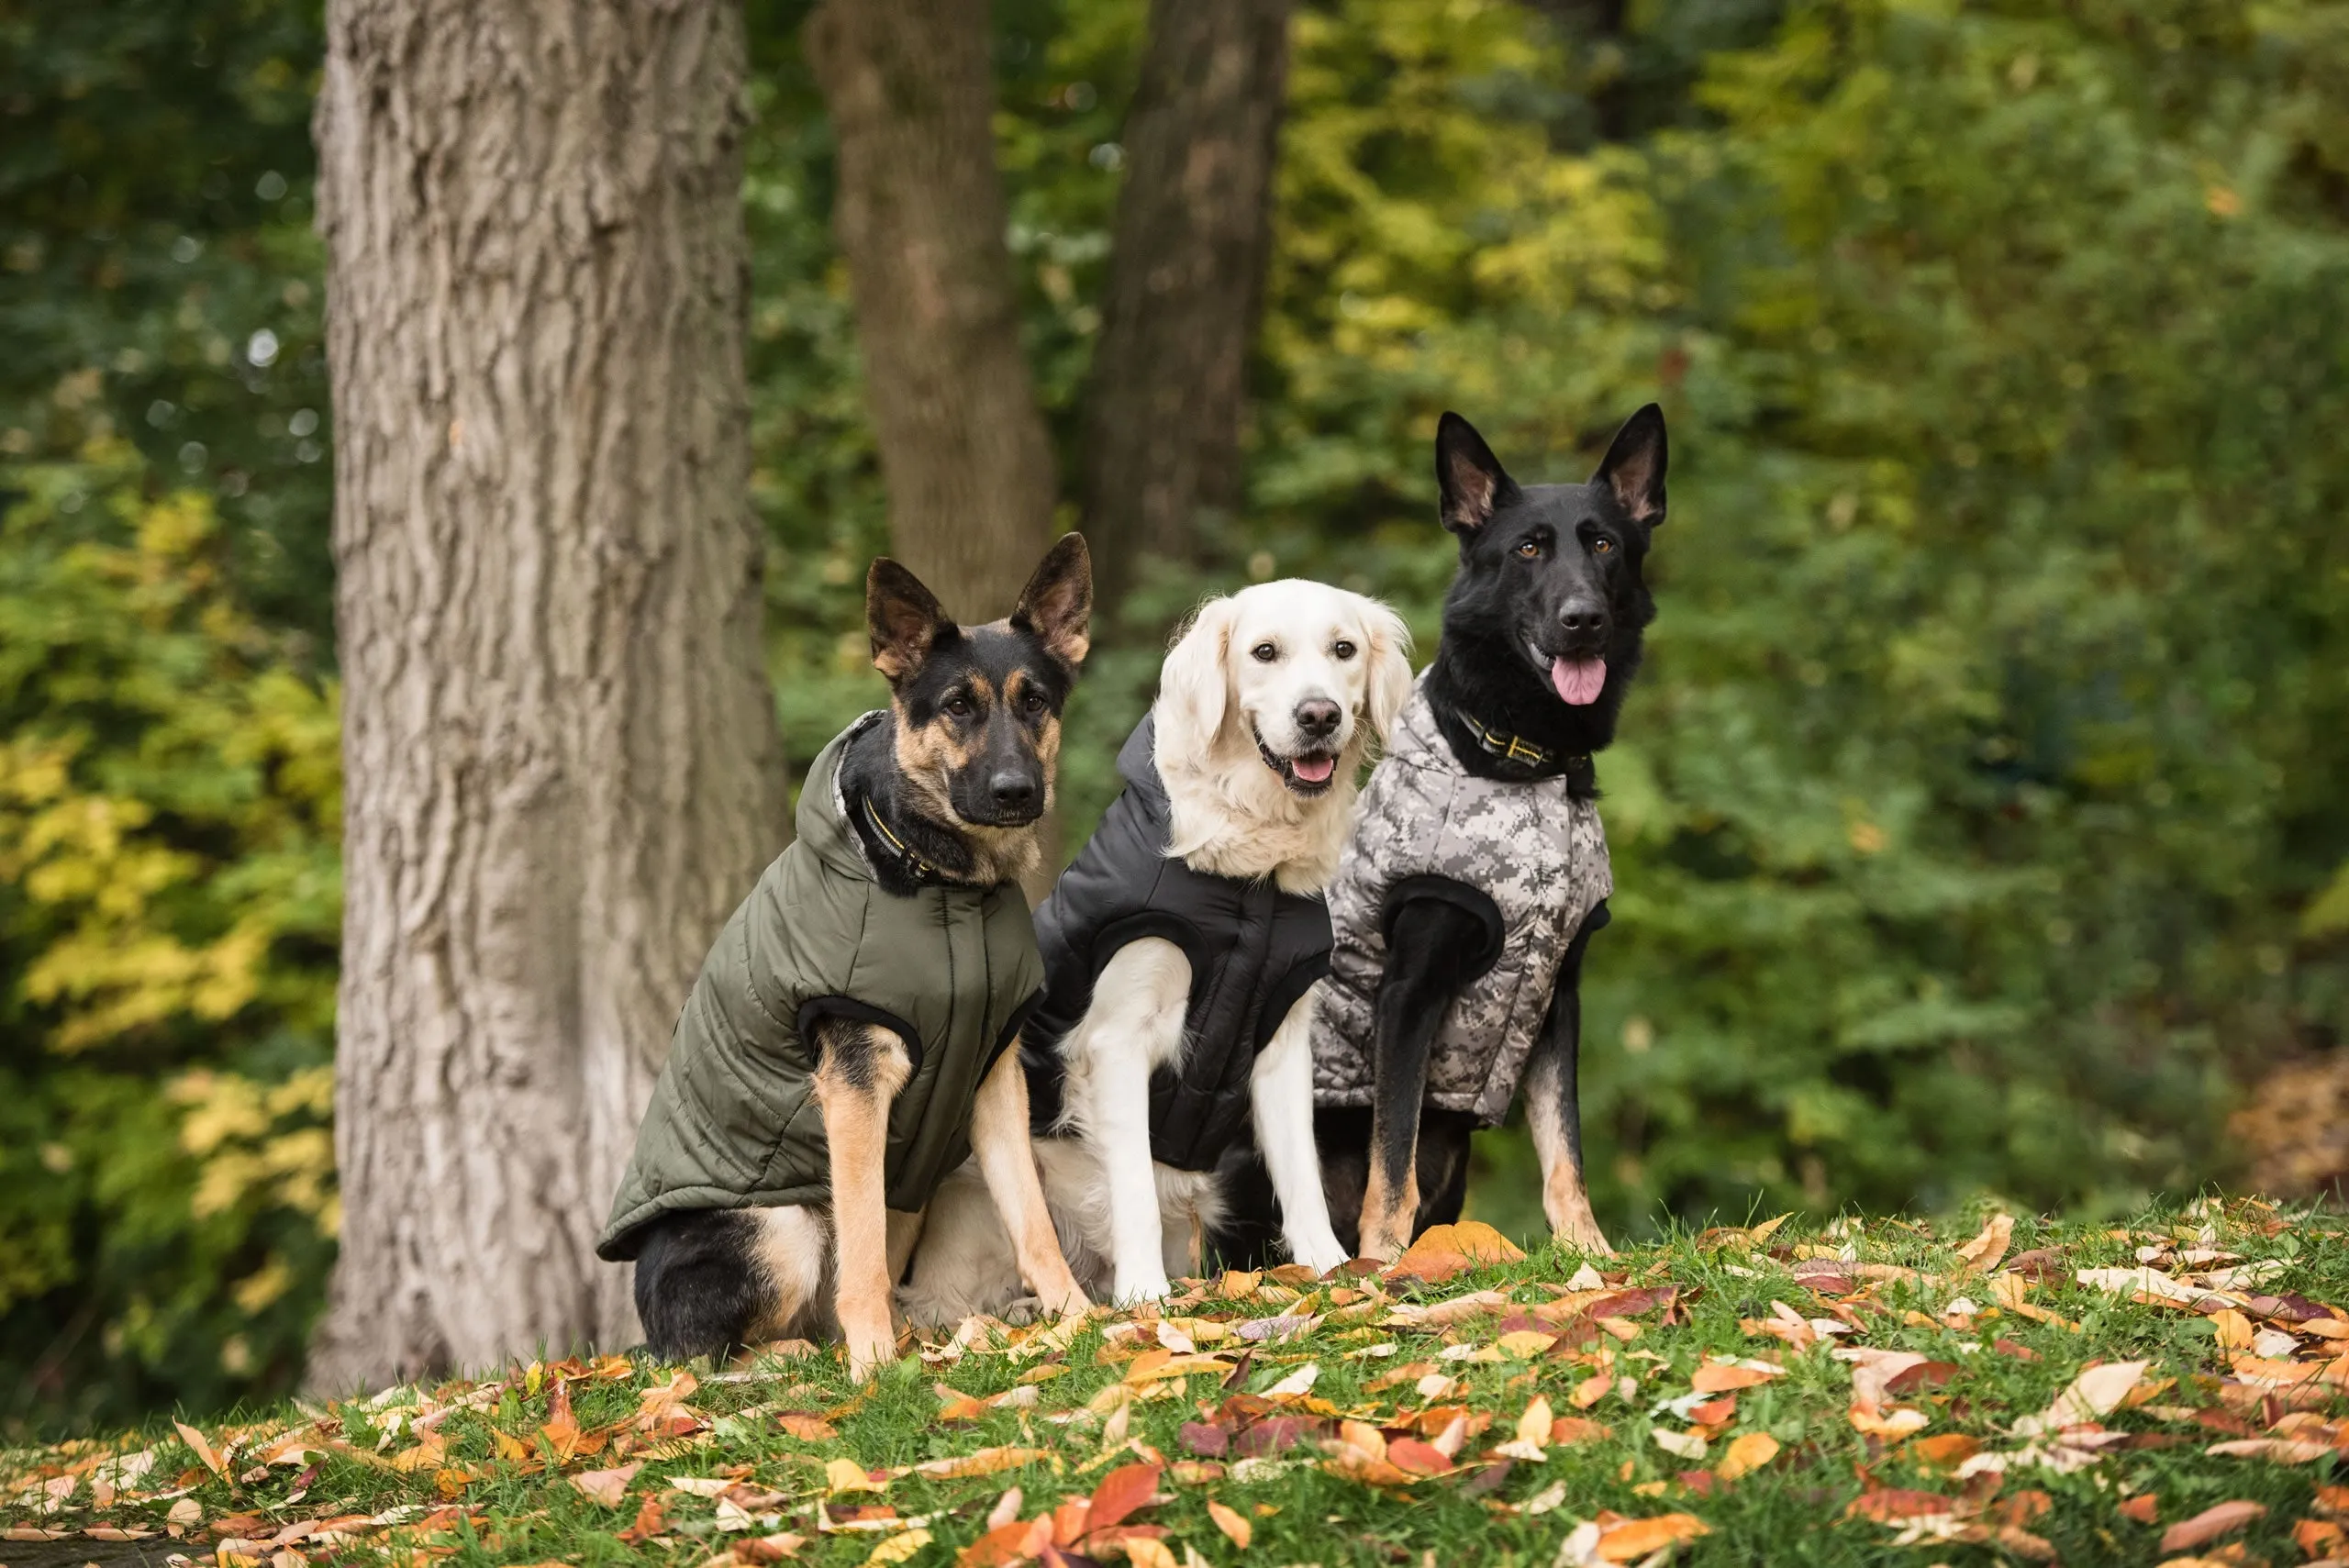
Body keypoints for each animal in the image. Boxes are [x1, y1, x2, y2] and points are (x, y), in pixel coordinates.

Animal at [629, 535, 1094, 1371]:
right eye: (957, 705)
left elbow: (1032, 1217)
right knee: (709, 1354)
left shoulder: (992, 1079)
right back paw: (808, 1352)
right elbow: (865, 1241)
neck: (946, 884)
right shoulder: (855, 1087)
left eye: (1034, 700)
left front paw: (1080, 1316)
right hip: (776, 1226)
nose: (1016, 790)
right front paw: (874, 1360)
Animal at [1221, 401, 1663, 1258]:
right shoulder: (1408, 992)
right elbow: (1393, 1151)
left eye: (1604, 544)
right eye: (1527, 548)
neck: (1529, 762)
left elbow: (1566, 1148)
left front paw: (1588, 1253)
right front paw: (1385, 1262)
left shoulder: (1559, 995)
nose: (1583, 620)